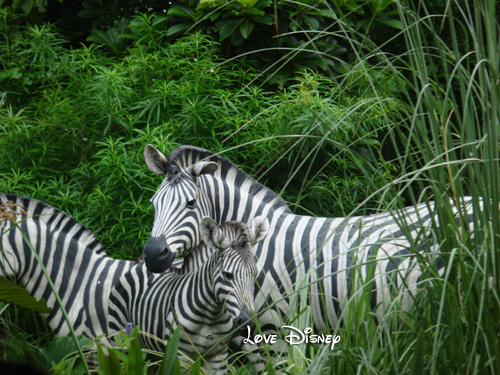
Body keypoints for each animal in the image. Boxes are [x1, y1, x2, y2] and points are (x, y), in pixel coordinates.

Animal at [107, 216, 268, 374]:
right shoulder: (180, 357)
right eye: (227, 275)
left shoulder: (218, 358)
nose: (248, 322)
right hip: (120, 340)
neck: (211, 317)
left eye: (255, 275)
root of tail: (144, 265)